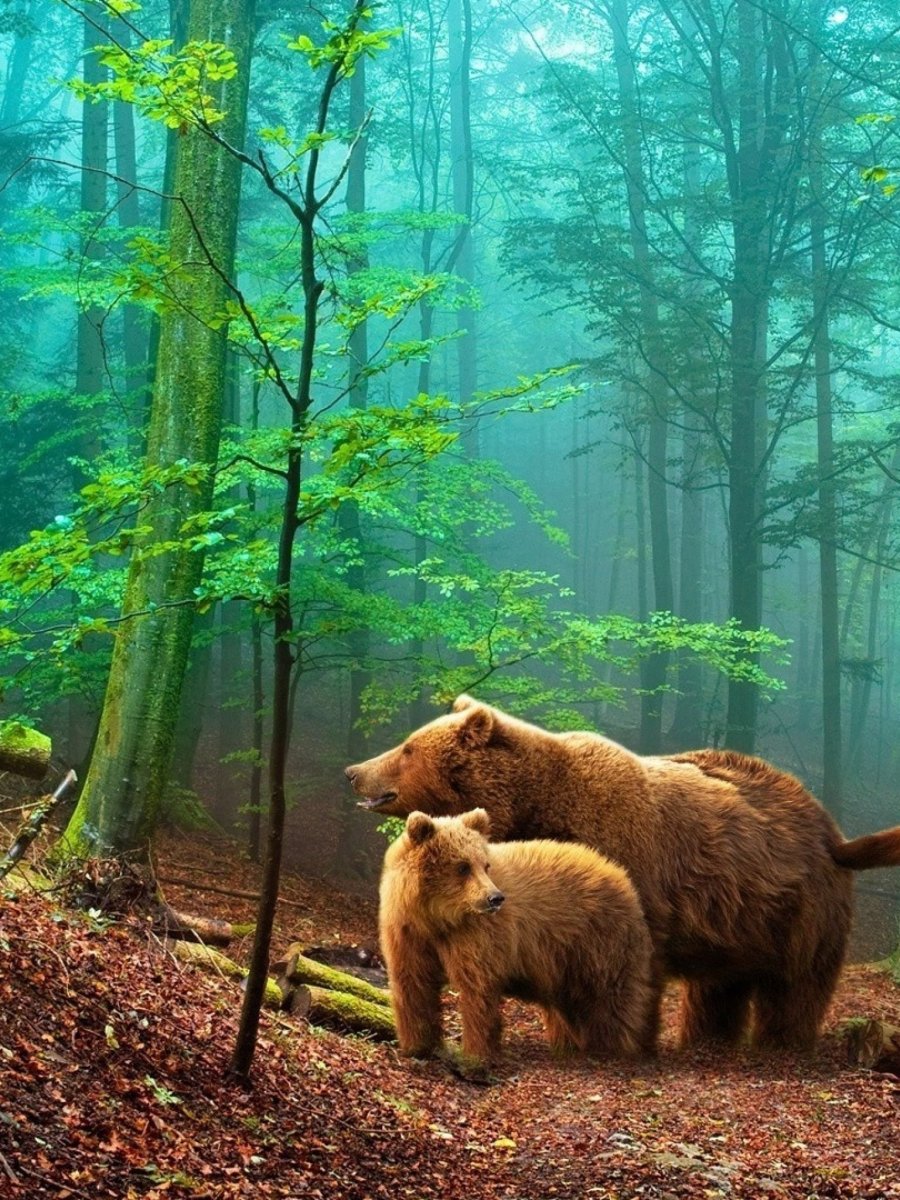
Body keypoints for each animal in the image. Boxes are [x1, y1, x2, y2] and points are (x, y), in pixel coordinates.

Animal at [379, 808, 654, 1073]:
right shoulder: (407, 932)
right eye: (463, 866)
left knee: (612, 999)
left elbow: (477, 989)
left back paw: (616, 1048)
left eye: (485, 865)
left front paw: (474, 1055)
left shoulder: (477, 935)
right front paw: (417, 1045)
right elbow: (413, 982)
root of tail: (619, 873)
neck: (436, 917)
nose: (495, 898)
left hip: (599, 943)